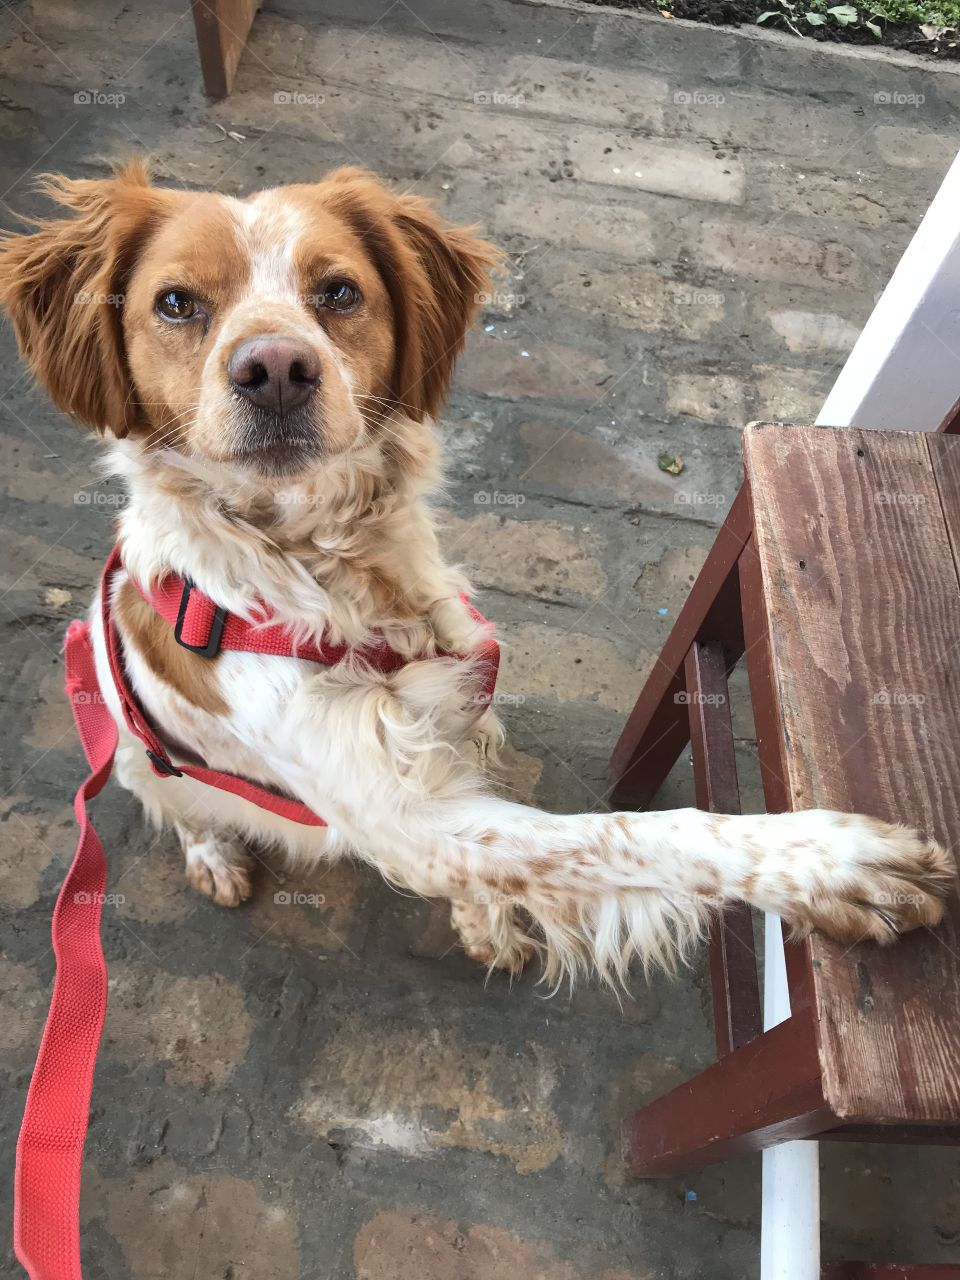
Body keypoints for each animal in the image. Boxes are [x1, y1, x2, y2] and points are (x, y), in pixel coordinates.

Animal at [0, 160, 952, 977]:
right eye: (175, 303)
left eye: (338, 292)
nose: (274, 369)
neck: (340, 572)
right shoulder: (401, 816)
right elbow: (621, 835)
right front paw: (829, 862)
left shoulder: (455, 712)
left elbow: (504, 858)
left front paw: (485, 919)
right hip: (124, 743)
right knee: (171, 800)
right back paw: (213, 852)